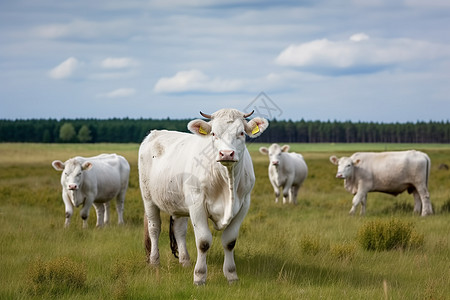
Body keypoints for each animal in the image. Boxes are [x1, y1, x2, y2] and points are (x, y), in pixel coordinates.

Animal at [139, 109, 268, 284]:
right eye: (213, 133)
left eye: (241, 133)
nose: (226, 154)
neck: (226, 182)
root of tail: (155, 133)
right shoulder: (197, 204)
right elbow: (203, 242)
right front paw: (199, 276)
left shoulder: (243, 205)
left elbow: (230, 242)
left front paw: (231, 275)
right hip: (148, 198)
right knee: (154, 228)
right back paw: (154, 261)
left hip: (180, 204)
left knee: (179, 230)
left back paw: (185, 261)